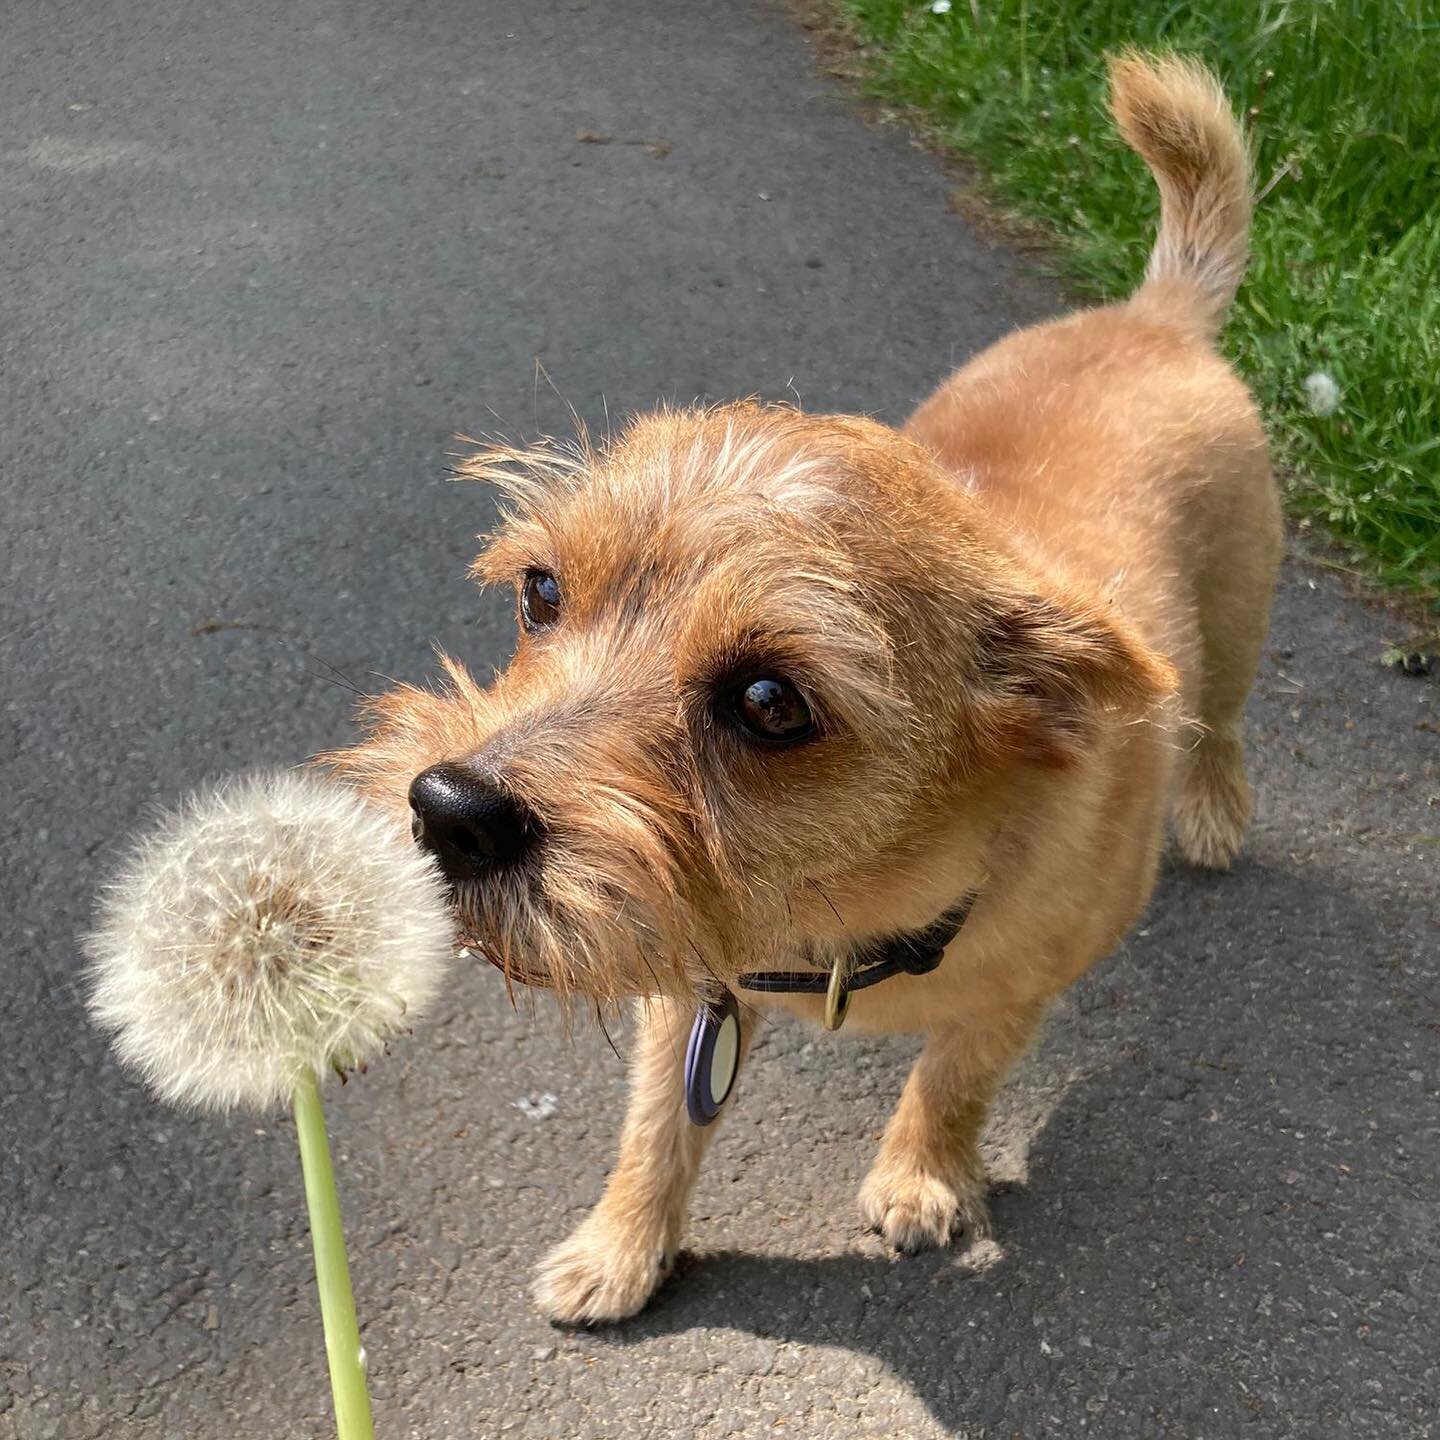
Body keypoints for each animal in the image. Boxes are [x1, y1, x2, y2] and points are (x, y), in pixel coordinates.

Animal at [326, 50, 1284, 1319]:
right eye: (540, 592)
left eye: (770, 704)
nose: (450, 811)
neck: (838, 924)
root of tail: (1153, 318)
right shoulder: (686, 982)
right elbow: (656, 1129)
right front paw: (621, 1244)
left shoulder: (1026, 988)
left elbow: (959, 1075)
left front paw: (923, 1172)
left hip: (1239, 617)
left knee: (1221, 719)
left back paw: (1216, 806)